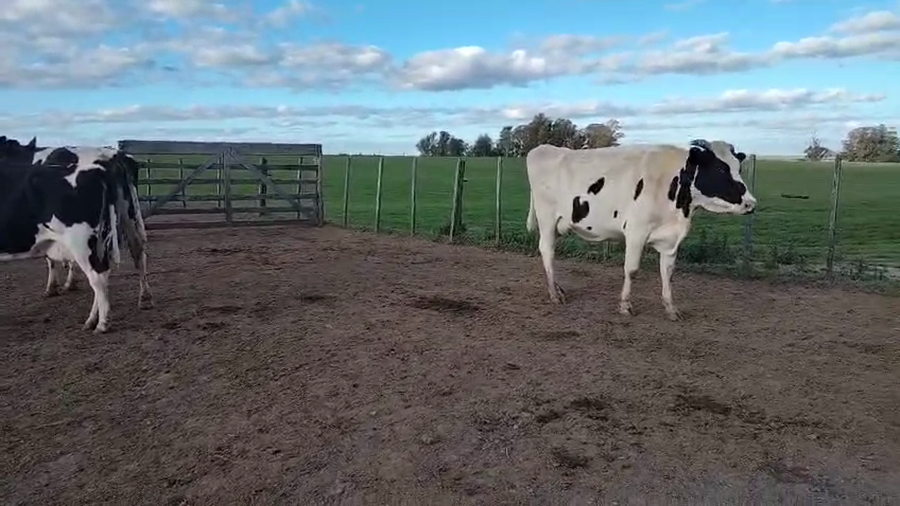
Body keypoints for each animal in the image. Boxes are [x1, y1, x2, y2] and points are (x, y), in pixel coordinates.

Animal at [0, 135, 153, 333]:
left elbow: (52, 261)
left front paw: (55, 287)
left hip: (82, 240)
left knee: (98, 275)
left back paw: (102, 323)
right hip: (126, 219)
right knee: (137, 253)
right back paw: (142, 300)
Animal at [525, 139, 756, 320]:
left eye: (739, 168)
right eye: (720, 169)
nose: (751, 204)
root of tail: (543, 148)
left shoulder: (671, 240)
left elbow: (668, 273)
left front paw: (671, 309)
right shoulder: (636, 232)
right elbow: (632, 269)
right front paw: (625, 306)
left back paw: (558, 288)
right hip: (547, 218)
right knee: (547, 251)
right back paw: (554, 294)